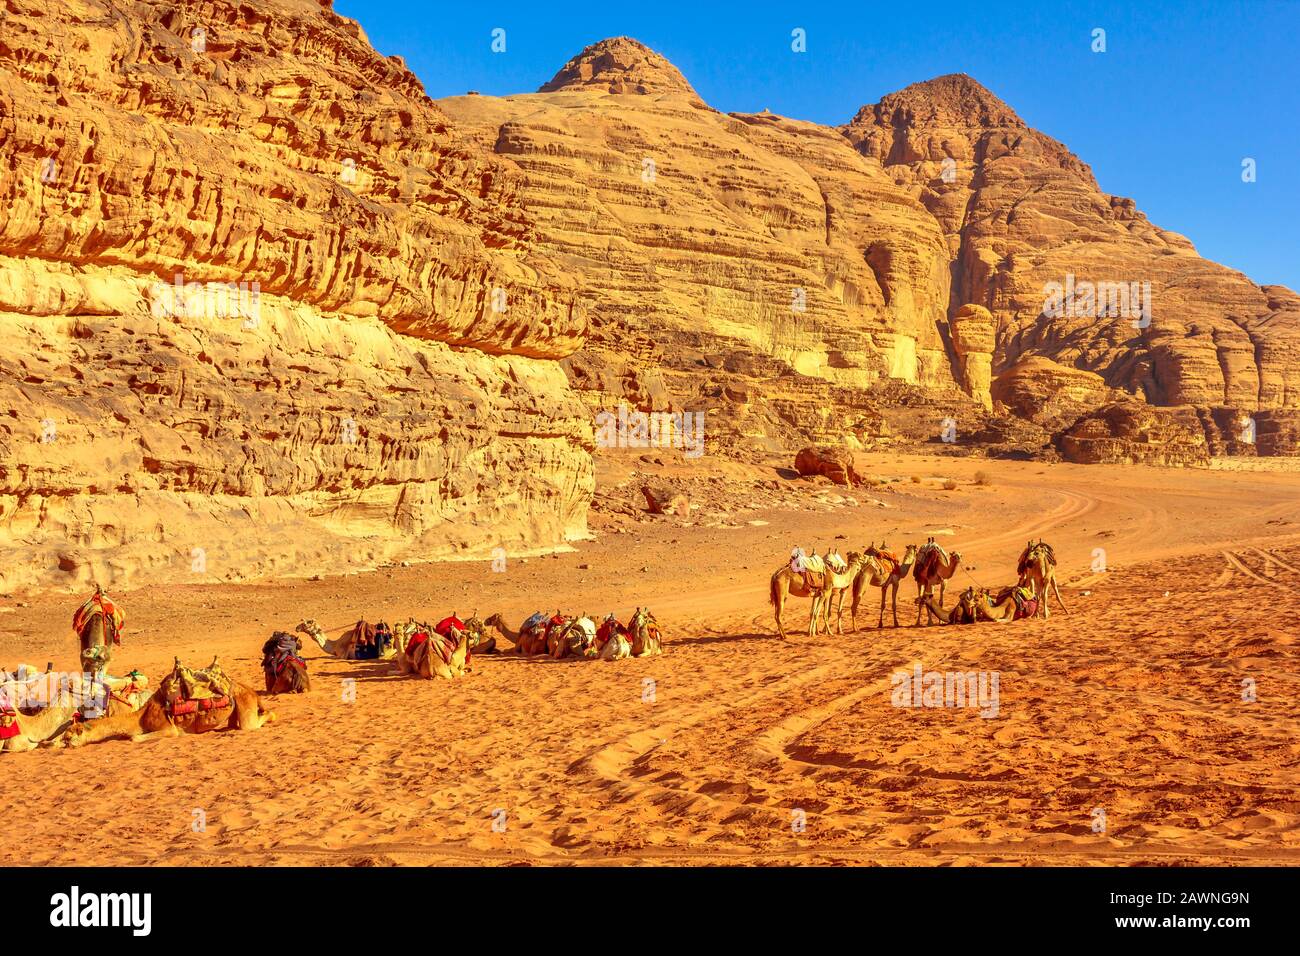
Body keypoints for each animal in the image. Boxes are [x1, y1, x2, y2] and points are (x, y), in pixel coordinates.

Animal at [55, 658, 274, 749]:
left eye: (68, 737)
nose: (60, 745)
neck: (141, 716)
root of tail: (250, 690)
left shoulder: (168, 729)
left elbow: (135, 738)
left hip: (245, 708)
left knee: (256, 721)